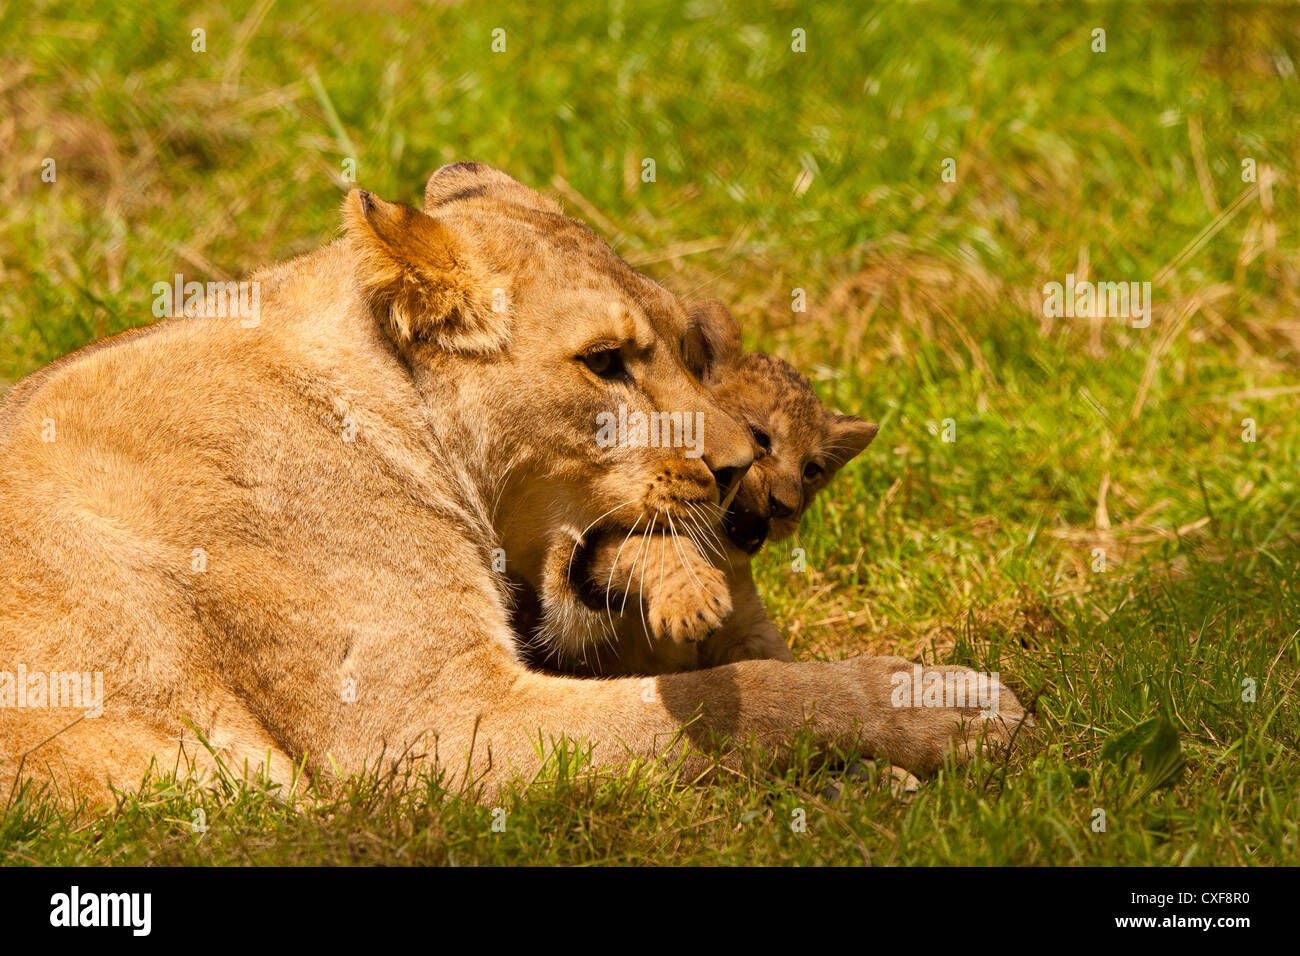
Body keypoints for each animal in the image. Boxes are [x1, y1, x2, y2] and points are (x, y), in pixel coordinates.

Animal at [0, 163, 1026, 804]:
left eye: (690, 349)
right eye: (605, 362)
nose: (737, 474)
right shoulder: (423, 733)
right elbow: (733, 698)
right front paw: (947, 705)